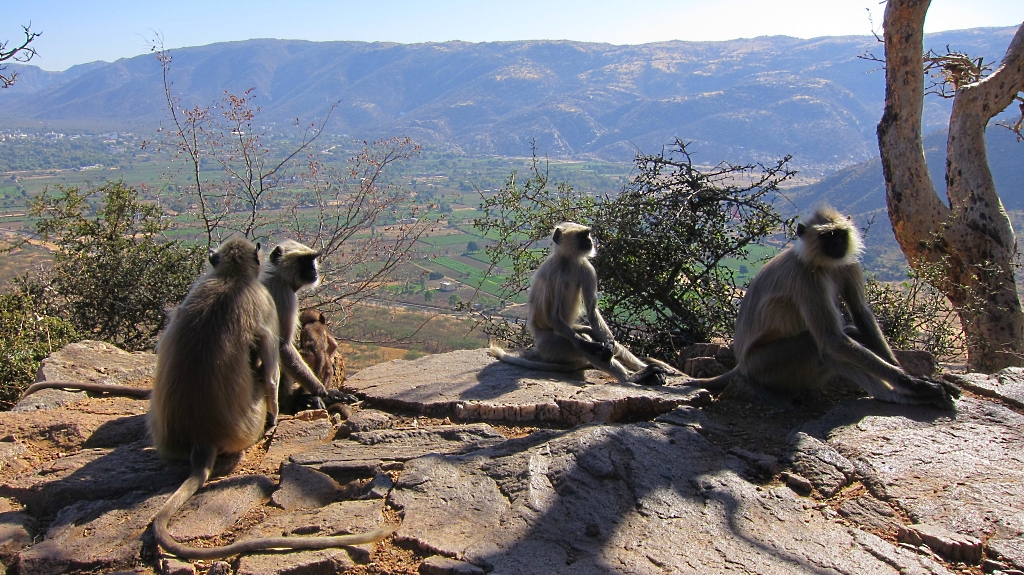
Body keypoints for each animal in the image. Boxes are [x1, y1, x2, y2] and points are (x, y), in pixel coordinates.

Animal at [150, 235, 391, 556]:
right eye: (306, 261)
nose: (315, 269)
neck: (272, 275)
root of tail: (200, 439)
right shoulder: (282, 297)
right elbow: (283, 348)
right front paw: (325, 393)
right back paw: (298, 400)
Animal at [489, 222, 675, 382]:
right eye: (582, 235)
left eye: (588, 234)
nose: (590, 241)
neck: (568, 260)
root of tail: (537, 338)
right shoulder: (555, 273)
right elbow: (553, 317)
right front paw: (591, 346)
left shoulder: (586, 266)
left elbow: (592, 311)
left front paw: (608, 344)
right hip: (551, 347)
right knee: (581, 344)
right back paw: (632, 377)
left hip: (569, 331)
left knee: (596, 334)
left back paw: (649, 369)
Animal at [692, 205, 962, 407]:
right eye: (827, 236)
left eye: (840, 234)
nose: (837, 246)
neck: (821, 262)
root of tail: (742, 364)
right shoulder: (806, 278)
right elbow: (832, 339)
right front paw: (916, 385)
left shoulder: (848, 264)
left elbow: (860, 312)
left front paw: (914, 375)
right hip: (766, 366)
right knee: (824, 348)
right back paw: (908, 397)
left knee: (847, 335)